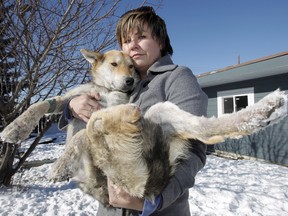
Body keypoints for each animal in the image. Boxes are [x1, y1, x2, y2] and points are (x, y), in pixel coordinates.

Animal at [0, 49, 139, 144]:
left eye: (131, 66)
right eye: (114, 64)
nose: (130, 81)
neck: (106, 90)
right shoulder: (70, 97)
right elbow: (38, 105)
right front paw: (16, 127)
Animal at [49, 89, 286, 206]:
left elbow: (86, 130)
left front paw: (58, 168)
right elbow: (83, 133)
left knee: (95, 126)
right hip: (163, 114)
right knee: (204, 129)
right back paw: (269, 110)